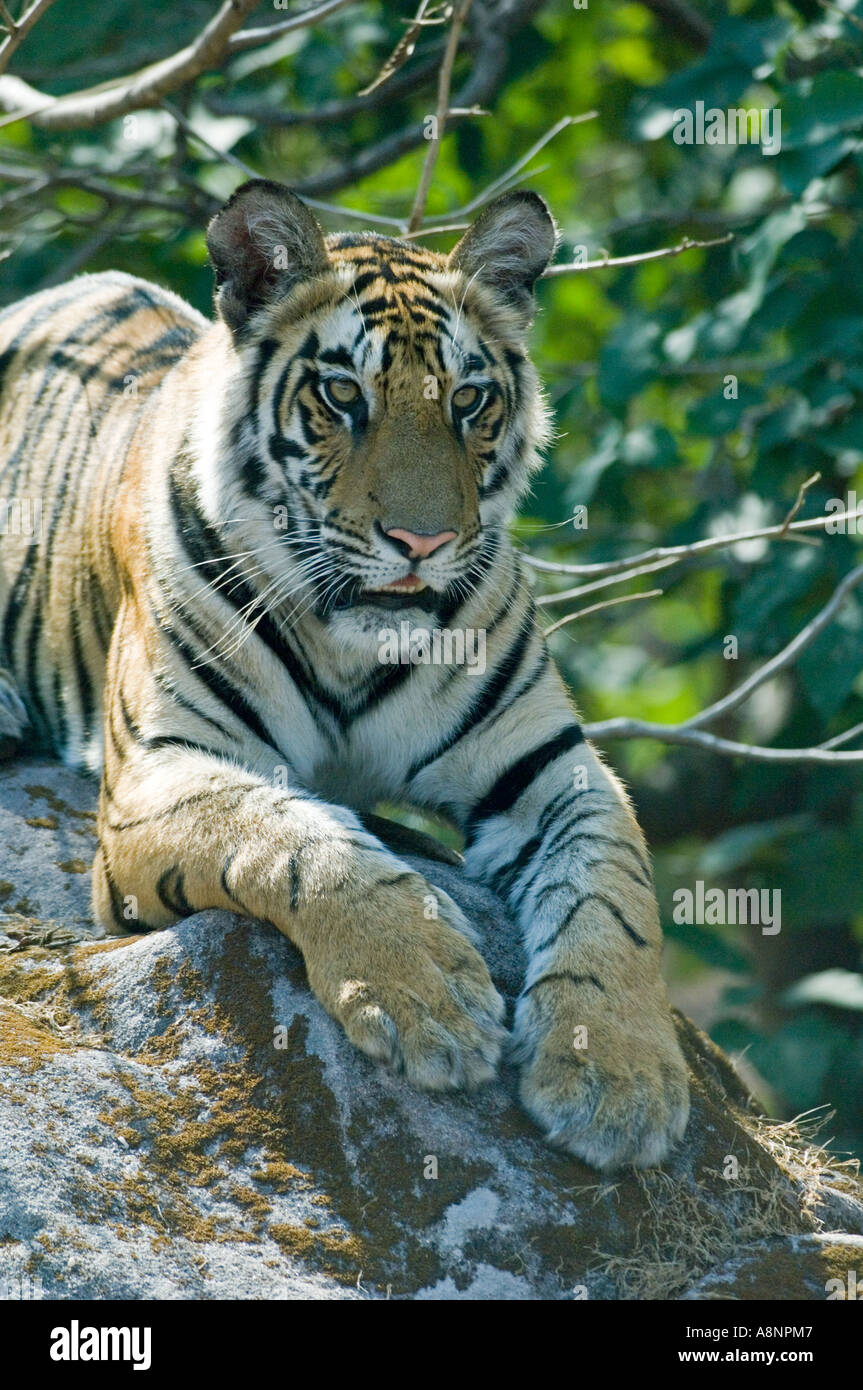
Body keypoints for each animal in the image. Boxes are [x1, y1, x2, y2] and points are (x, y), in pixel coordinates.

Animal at [0, 179, 686, 1167]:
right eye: (341, 394)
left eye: (468, 399)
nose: (422, 542)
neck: (352, 646)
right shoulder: (157, 772)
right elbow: (290, 833)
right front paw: (424, 992)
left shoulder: (553, 768)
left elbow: (613, 893)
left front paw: (618, 1075)